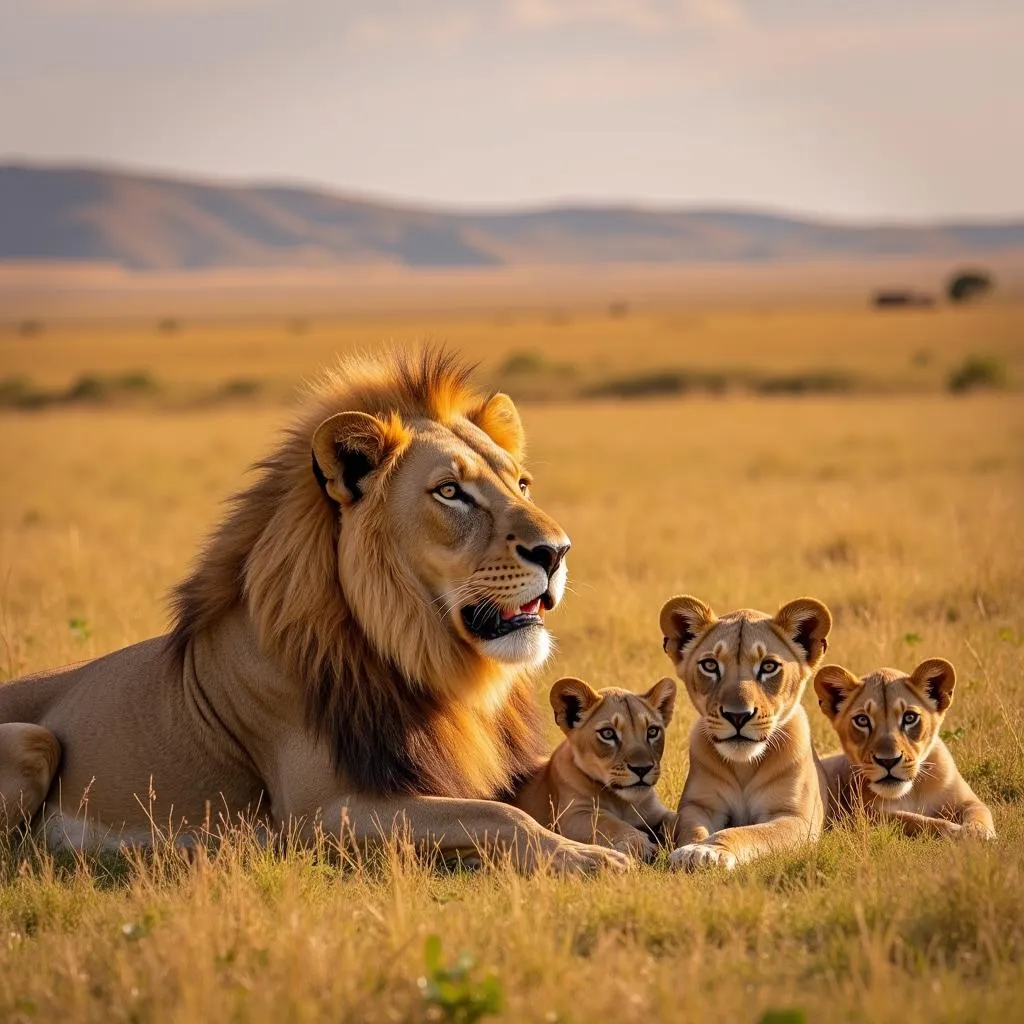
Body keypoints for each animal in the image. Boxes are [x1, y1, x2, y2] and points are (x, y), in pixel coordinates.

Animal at [0, 350, 622, 872]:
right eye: (450, 492)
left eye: (522, 483)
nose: (557, 551)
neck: (426, 661)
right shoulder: (318, 816)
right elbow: (497, 813)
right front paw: (587, 857)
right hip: (32, 740)